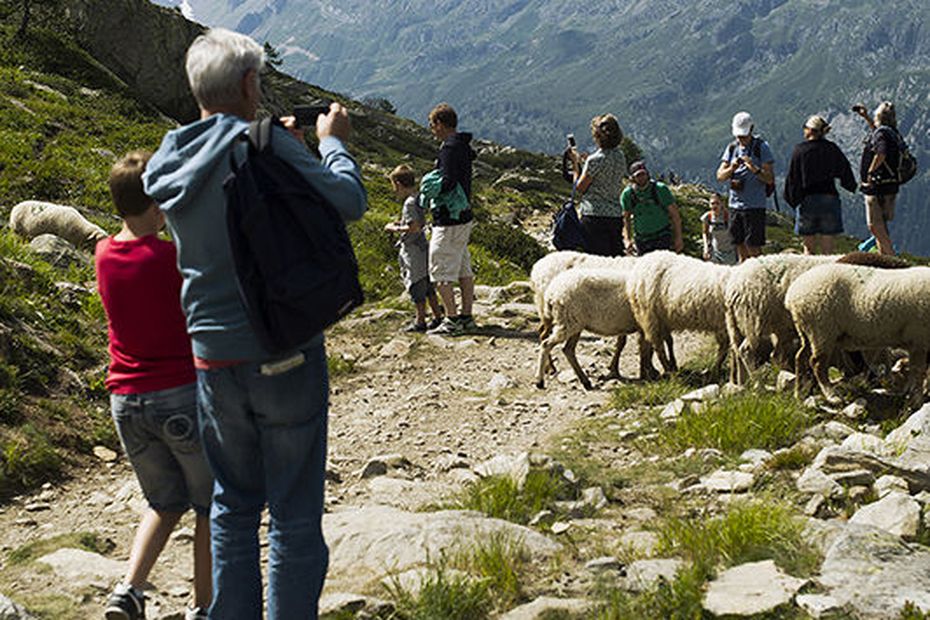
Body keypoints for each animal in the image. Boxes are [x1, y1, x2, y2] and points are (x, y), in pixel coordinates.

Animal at [784, 264, 928, 410]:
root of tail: (792, 293)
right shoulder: (919, 339)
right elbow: (919, 371)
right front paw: (916, 400)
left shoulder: (918, 343)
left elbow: (918, 371)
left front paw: (911, 395)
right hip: (821, 327)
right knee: (817, 363)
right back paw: (832, 396)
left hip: (807, 329)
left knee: (800, 357)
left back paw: (799, 393)